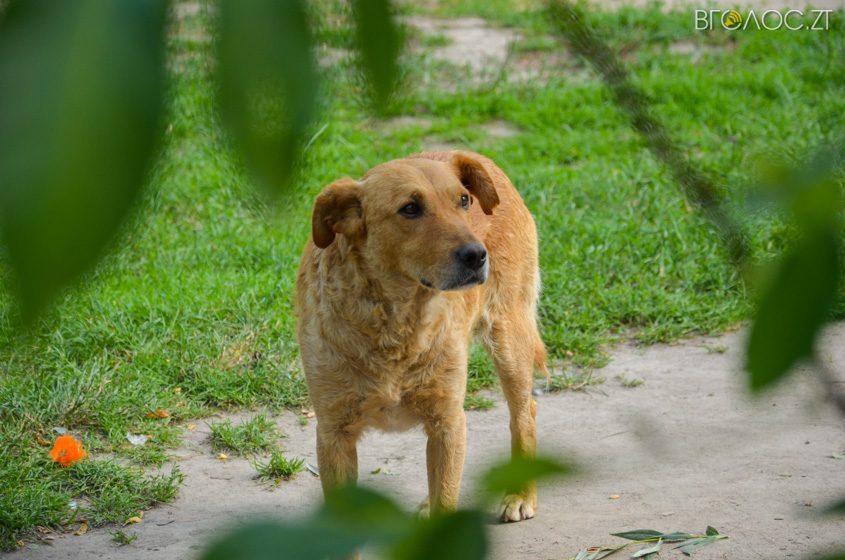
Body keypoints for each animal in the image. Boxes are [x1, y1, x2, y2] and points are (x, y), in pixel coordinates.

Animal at [295, 150, 546, 522]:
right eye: (410, 208)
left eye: (463, 200)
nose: (476, 254)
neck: (398, 320)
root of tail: (472, 153)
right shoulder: (333, 433)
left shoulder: (448, 423)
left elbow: (446, 497)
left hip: (509, 339)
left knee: (524, 414)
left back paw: (520, 494)